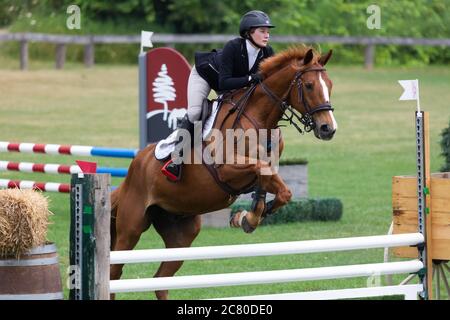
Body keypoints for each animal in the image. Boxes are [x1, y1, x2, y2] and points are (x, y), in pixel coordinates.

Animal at [110, 46, 338, 298]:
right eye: (309, 85)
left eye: (329, 85)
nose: (328, 129)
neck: (260, 119)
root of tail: (133, 169)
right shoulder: (226, 170)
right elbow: (261, 169)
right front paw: (246, 217)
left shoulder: (265, 172)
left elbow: (280, 190)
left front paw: (248, 217)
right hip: (131, 228)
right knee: (114, 272)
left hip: (182, 232)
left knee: (160, 281)